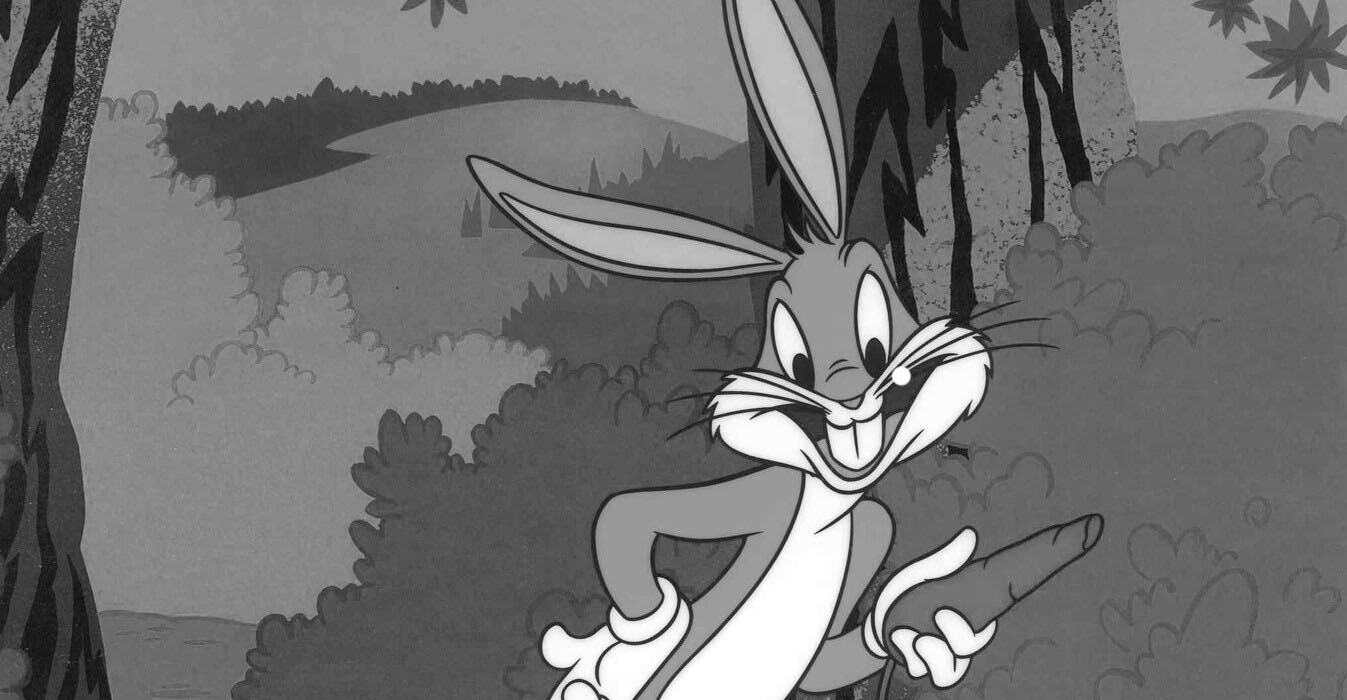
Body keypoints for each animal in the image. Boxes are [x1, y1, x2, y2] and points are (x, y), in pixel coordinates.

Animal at [467, 0, 1103, 698]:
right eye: (795, 359)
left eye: (878, 340)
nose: (848, 392)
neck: (829, 508)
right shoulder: (767, 495)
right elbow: (622, 516)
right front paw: (633, 646)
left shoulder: (874, 527)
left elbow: (841, 653)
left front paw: (927, 636)